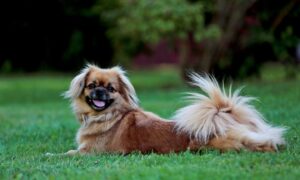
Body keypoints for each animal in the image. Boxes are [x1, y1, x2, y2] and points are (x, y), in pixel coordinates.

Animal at [61, 64, 286, 155]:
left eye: (111, 89)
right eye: (92, 86)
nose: (99, 92)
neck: (108, 115)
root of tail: (225, 117)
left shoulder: (91, 152)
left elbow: (66, 154)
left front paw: (53, 156)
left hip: (218, 144)